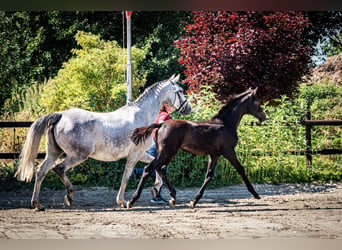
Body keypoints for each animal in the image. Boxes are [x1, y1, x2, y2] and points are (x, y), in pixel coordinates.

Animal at [15, 74, 192, 211]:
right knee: (59, 169)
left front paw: (156, 190)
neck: (142, 114)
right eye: (180, 91)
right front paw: (122, 201)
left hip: (54, 153)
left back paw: (37, 204)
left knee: (41, 172)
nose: (188, 108)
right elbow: (127, 176)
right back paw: (69, 196)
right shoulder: (134, 155)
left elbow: (155, 168)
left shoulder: (141, 154)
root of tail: (60, 115)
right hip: (78, 155)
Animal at [127, 88, 266, 209]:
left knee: (160, 169)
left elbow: (208, 176)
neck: (226, 124)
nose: (264, 117)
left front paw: (194, 201)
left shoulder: (214, 155)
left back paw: (173, 197)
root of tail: (161, 125)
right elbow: (241, 169)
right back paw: (132, 200)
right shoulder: (228, 151)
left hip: (170, 152)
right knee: (149, 169)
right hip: (167, 151)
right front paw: (256, 194)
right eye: (258, 102)